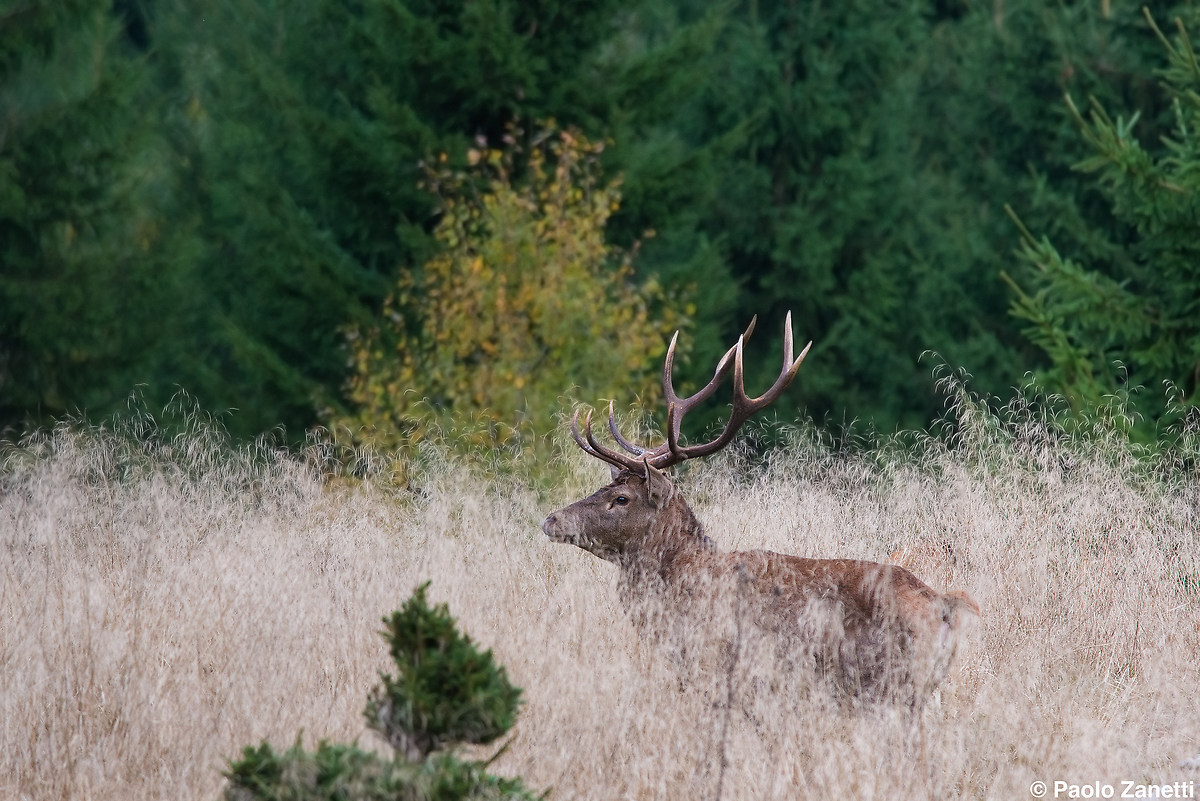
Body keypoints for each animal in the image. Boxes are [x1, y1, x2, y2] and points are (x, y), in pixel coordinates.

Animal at [542, 313, 980, 706]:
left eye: (622, 499)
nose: (550, 519)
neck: (682, 595)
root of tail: (944, 606)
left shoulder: (723, 669)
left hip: (897, 683)